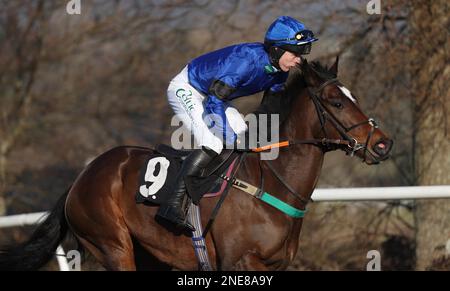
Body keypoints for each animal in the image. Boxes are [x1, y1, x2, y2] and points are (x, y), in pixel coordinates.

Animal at [0, 57, 392, 272]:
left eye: (354, 97)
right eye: (336, 102)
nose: (383, 143)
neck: (270, 182)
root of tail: (82, 175)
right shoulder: (238, 262)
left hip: (150, 254)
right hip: (112, 245)